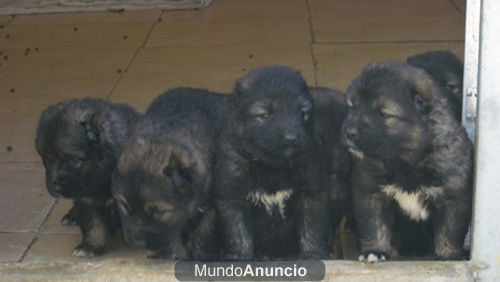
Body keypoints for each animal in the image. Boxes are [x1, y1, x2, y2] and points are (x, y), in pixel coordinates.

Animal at [34, 98, 139, 256]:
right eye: (46, 159)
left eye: (74, 160)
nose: (54, 188)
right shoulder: (86, 199)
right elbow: (93, 224)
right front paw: (90, 246)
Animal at [112, 88, 226, 260]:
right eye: (124, 205)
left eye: (158, 211)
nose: (137, 243)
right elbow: (171, 236)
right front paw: (175, 253)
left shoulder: (212, 206)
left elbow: (204, 231)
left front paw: (201, 255)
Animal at [215, 66, 340, 260]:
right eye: (266, 115)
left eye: (302, 113)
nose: (292, 138)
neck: (272, 167)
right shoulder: (232, 195)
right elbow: (237, 231)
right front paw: (240, 256)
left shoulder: (312, 192)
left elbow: (312, 226)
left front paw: (313, 253)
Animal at [340, 61, 472, 262]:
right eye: (353, 107)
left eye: (383, 114)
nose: (349, 132)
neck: (404, 161)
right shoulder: (370, 192)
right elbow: (373, 225)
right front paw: (375, 251)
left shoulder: (453, 196)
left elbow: (450, 229)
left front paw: (449, 255)